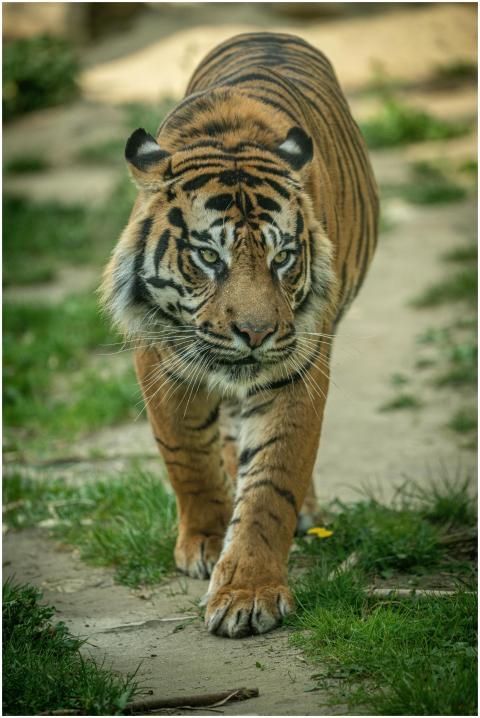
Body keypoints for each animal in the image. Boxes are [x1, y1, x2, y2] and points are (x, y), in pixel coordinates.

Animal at [101, 31, 378, 638]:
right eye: (209, 256)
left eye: (283, 258)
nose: (256, 333)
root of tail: (268, 32)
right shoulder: (159, 353)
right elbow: (185, 452)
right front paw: (205, 540)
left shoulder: (299, 361)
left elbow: (274, 478)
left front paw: (247, 591)